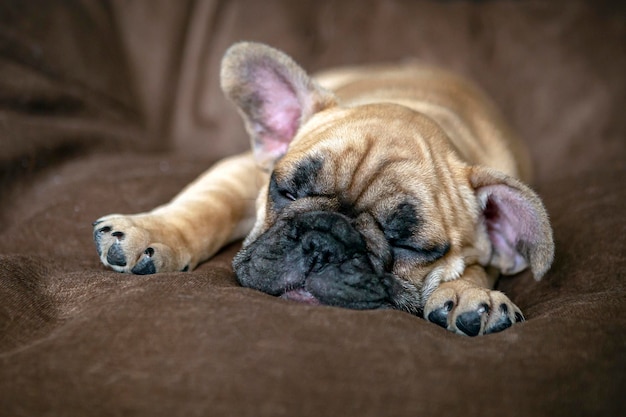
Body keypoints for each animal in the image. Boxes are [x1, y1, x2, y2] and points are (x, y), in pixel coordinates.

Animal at [92, 42, 552, 334]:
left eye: (407, 245)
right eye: (287, 193)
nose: (322, 244)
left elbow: (475, 267)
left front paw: (473, 294)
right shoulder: (243, 172)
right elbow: (208, 205)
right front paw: (152, 232)